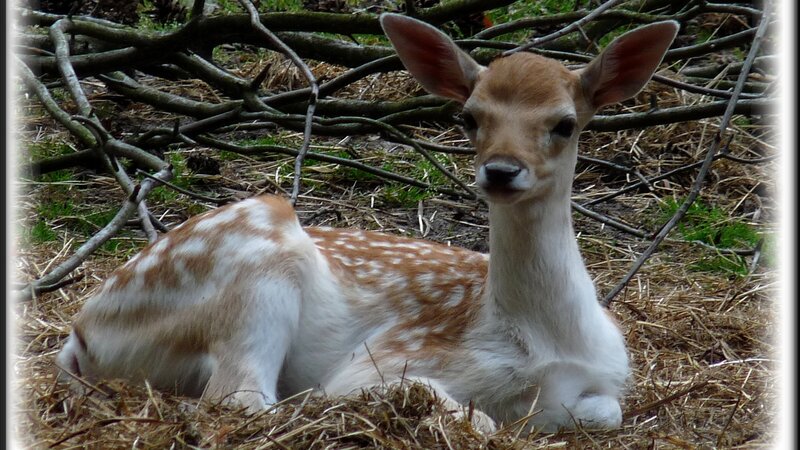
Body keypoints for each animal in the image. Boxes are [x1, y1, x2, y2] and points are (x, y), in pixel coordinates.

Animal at [56, 14, 678, 433]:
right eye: (469, 116)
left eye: (565, 123)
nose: (501, 170)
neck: (545, 338)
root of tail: (79, 333)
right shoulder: (394, 355)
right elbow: (464, 412)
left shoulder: (608, 379)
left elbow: (606, 410)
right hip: (258, 268)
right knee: (237, 397)